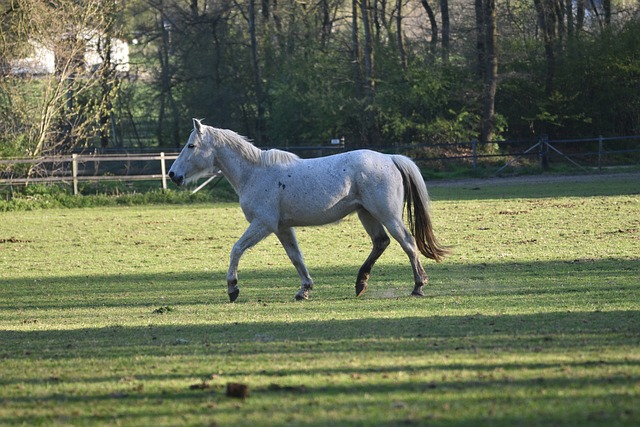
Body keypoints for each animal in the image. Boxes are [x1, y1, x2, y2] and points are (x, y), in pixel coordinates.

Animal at [170, 118, 450, 302]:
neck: (255, 173)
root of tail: (390, 158)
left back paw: (418, 286)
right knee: (381, 242)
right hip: (366, 214)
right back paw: (360, 283)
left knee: (408, 243)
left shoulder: (263, 224)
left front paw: (233, 289)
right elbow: (296, 257)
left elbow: (236, 249)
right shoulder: (282, 228)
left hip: (387, 215)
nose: (173, 175)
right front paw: (304, 289)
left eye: (191, 146)